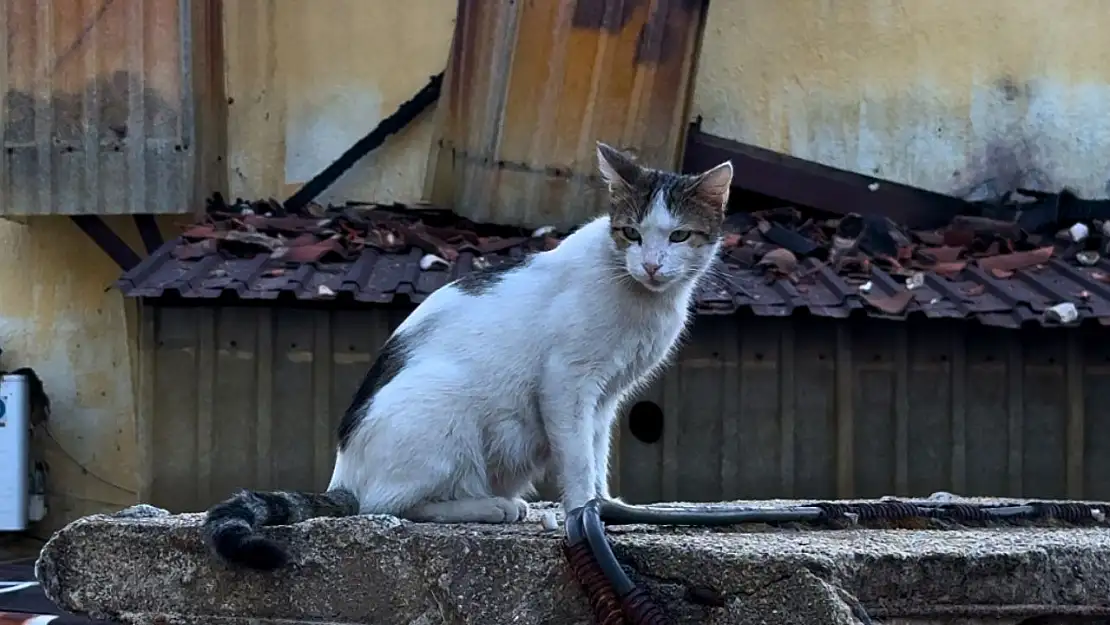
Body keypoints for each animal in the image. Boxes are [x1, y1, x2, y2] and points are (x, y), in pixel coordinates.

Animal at [203, 143, 732, 572]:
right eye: (630, 233)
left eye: (679, 236)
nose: (652, 265)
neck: (643, 298)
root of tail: (343, 475)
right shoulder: (568, 383)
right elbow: (577, 457)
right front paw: (582, 515)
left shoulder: (604, 398)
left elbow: (594, 452)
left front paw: (602, 506)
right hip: (442, 407)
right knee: (385, 505)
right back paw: (490, 506)